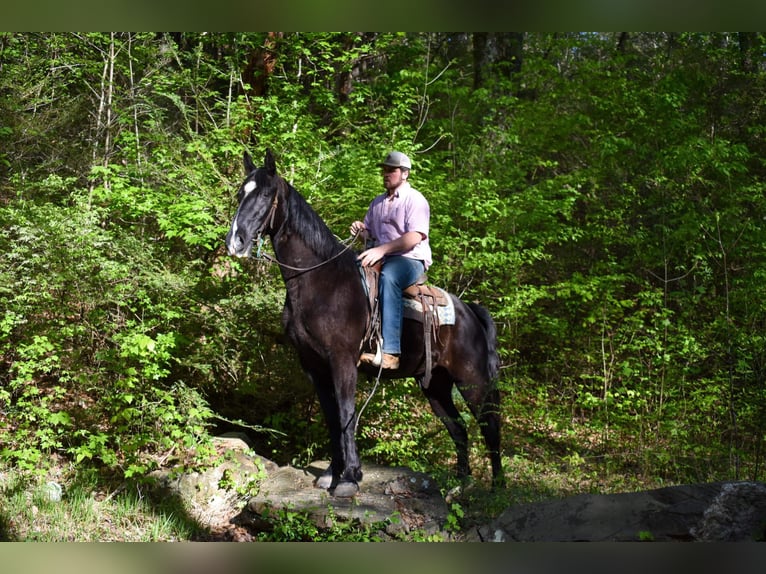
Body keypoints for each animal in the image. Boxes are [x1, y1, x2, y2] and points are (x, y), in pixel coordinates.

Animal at [225, 150, 508, 500]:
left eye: (265, 195)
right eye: (241, 194)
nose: (235, 242)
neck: (319, 281)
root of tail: (469, 311)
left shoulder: (343, 361)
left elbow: (347, 413)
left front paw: (349, 478)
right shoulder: (313, 365)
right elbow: (332, 417)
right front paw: (331, 473)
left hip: (472, 380)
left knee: (490, 425)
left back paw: (498, 489)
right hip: (435, 386)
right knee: (460, 428)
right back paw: (460, 485)